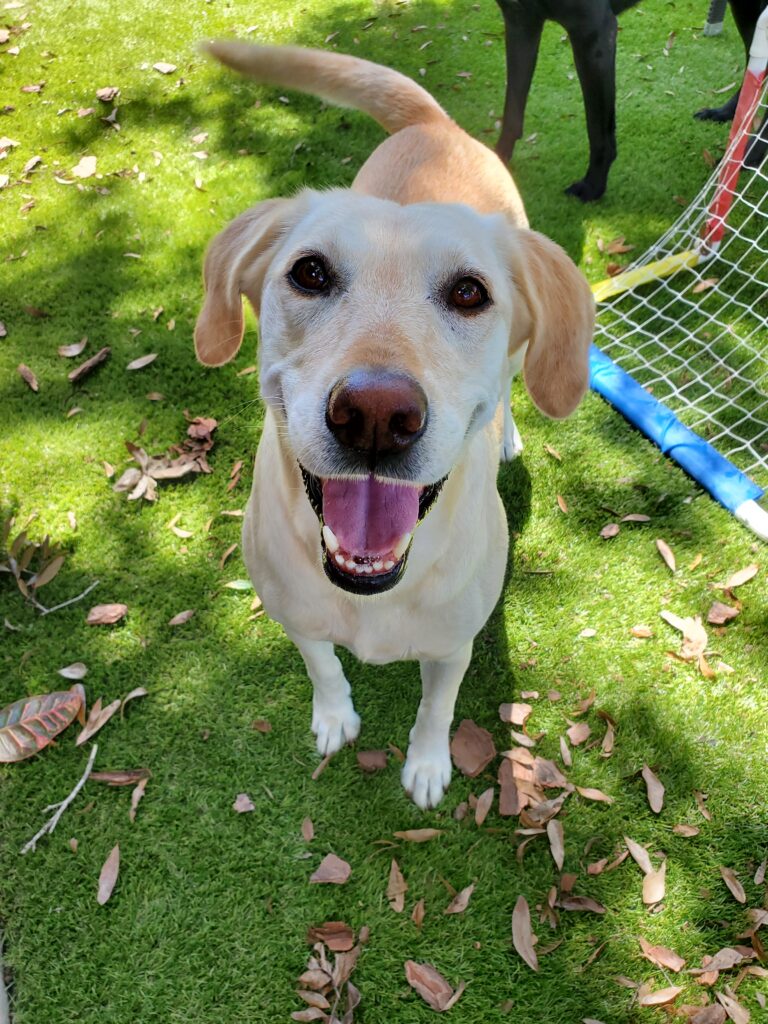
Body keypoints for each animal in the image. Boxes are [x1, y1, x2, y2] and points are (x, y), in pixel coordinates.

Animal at [192, 37, 593, 806]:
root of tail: (436, 123)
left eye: (469, 292)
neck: (374, 591)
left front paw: (429, 764)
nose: (376, 415)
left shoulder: (452, 646)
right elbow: (322, 667)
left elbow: (436, 708)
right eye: (309, 273)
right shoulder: (297, 617)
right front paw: (333, 717)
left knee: (510, 389)